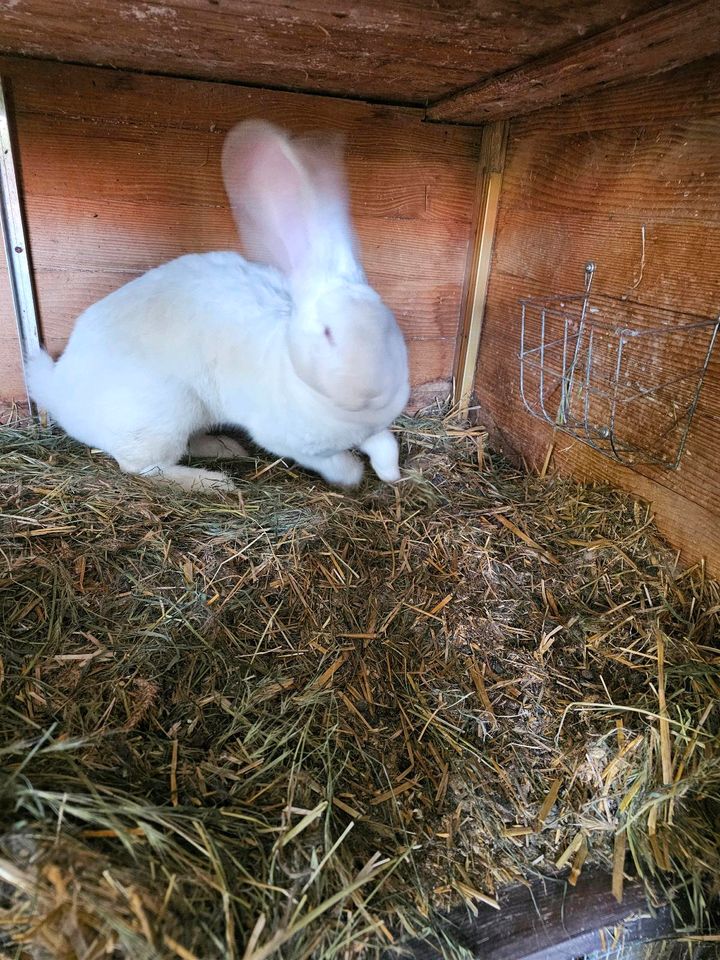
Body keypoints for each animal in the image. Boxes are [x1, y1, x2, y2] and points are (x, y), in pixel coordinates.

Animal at [25, 119, 408, 492]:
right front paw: (353, 475)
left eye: (389, 328)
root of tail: (58, 389)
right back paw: (212, 482)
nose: (370, 391)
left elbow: (385, 444)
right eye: (328, 333)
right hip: (163, 417)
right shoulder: (288, 441)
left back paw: (228, 449)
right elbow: (333, 462)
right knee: (144, 467)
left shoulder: (373, 429)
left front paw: (390, 474)